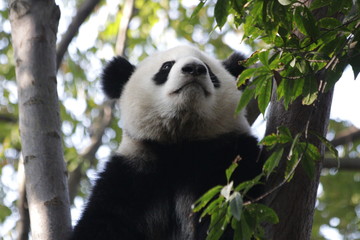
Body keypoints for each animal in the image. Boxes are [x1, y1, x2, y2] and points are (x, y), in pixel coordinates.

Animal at [70, 45, 262, 240]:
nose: (194, 68)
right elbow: (103, 220)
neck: (180, 144)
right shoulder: (131, 174)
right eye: (166, 66)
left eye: (209, 68)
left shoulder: (229, 154)